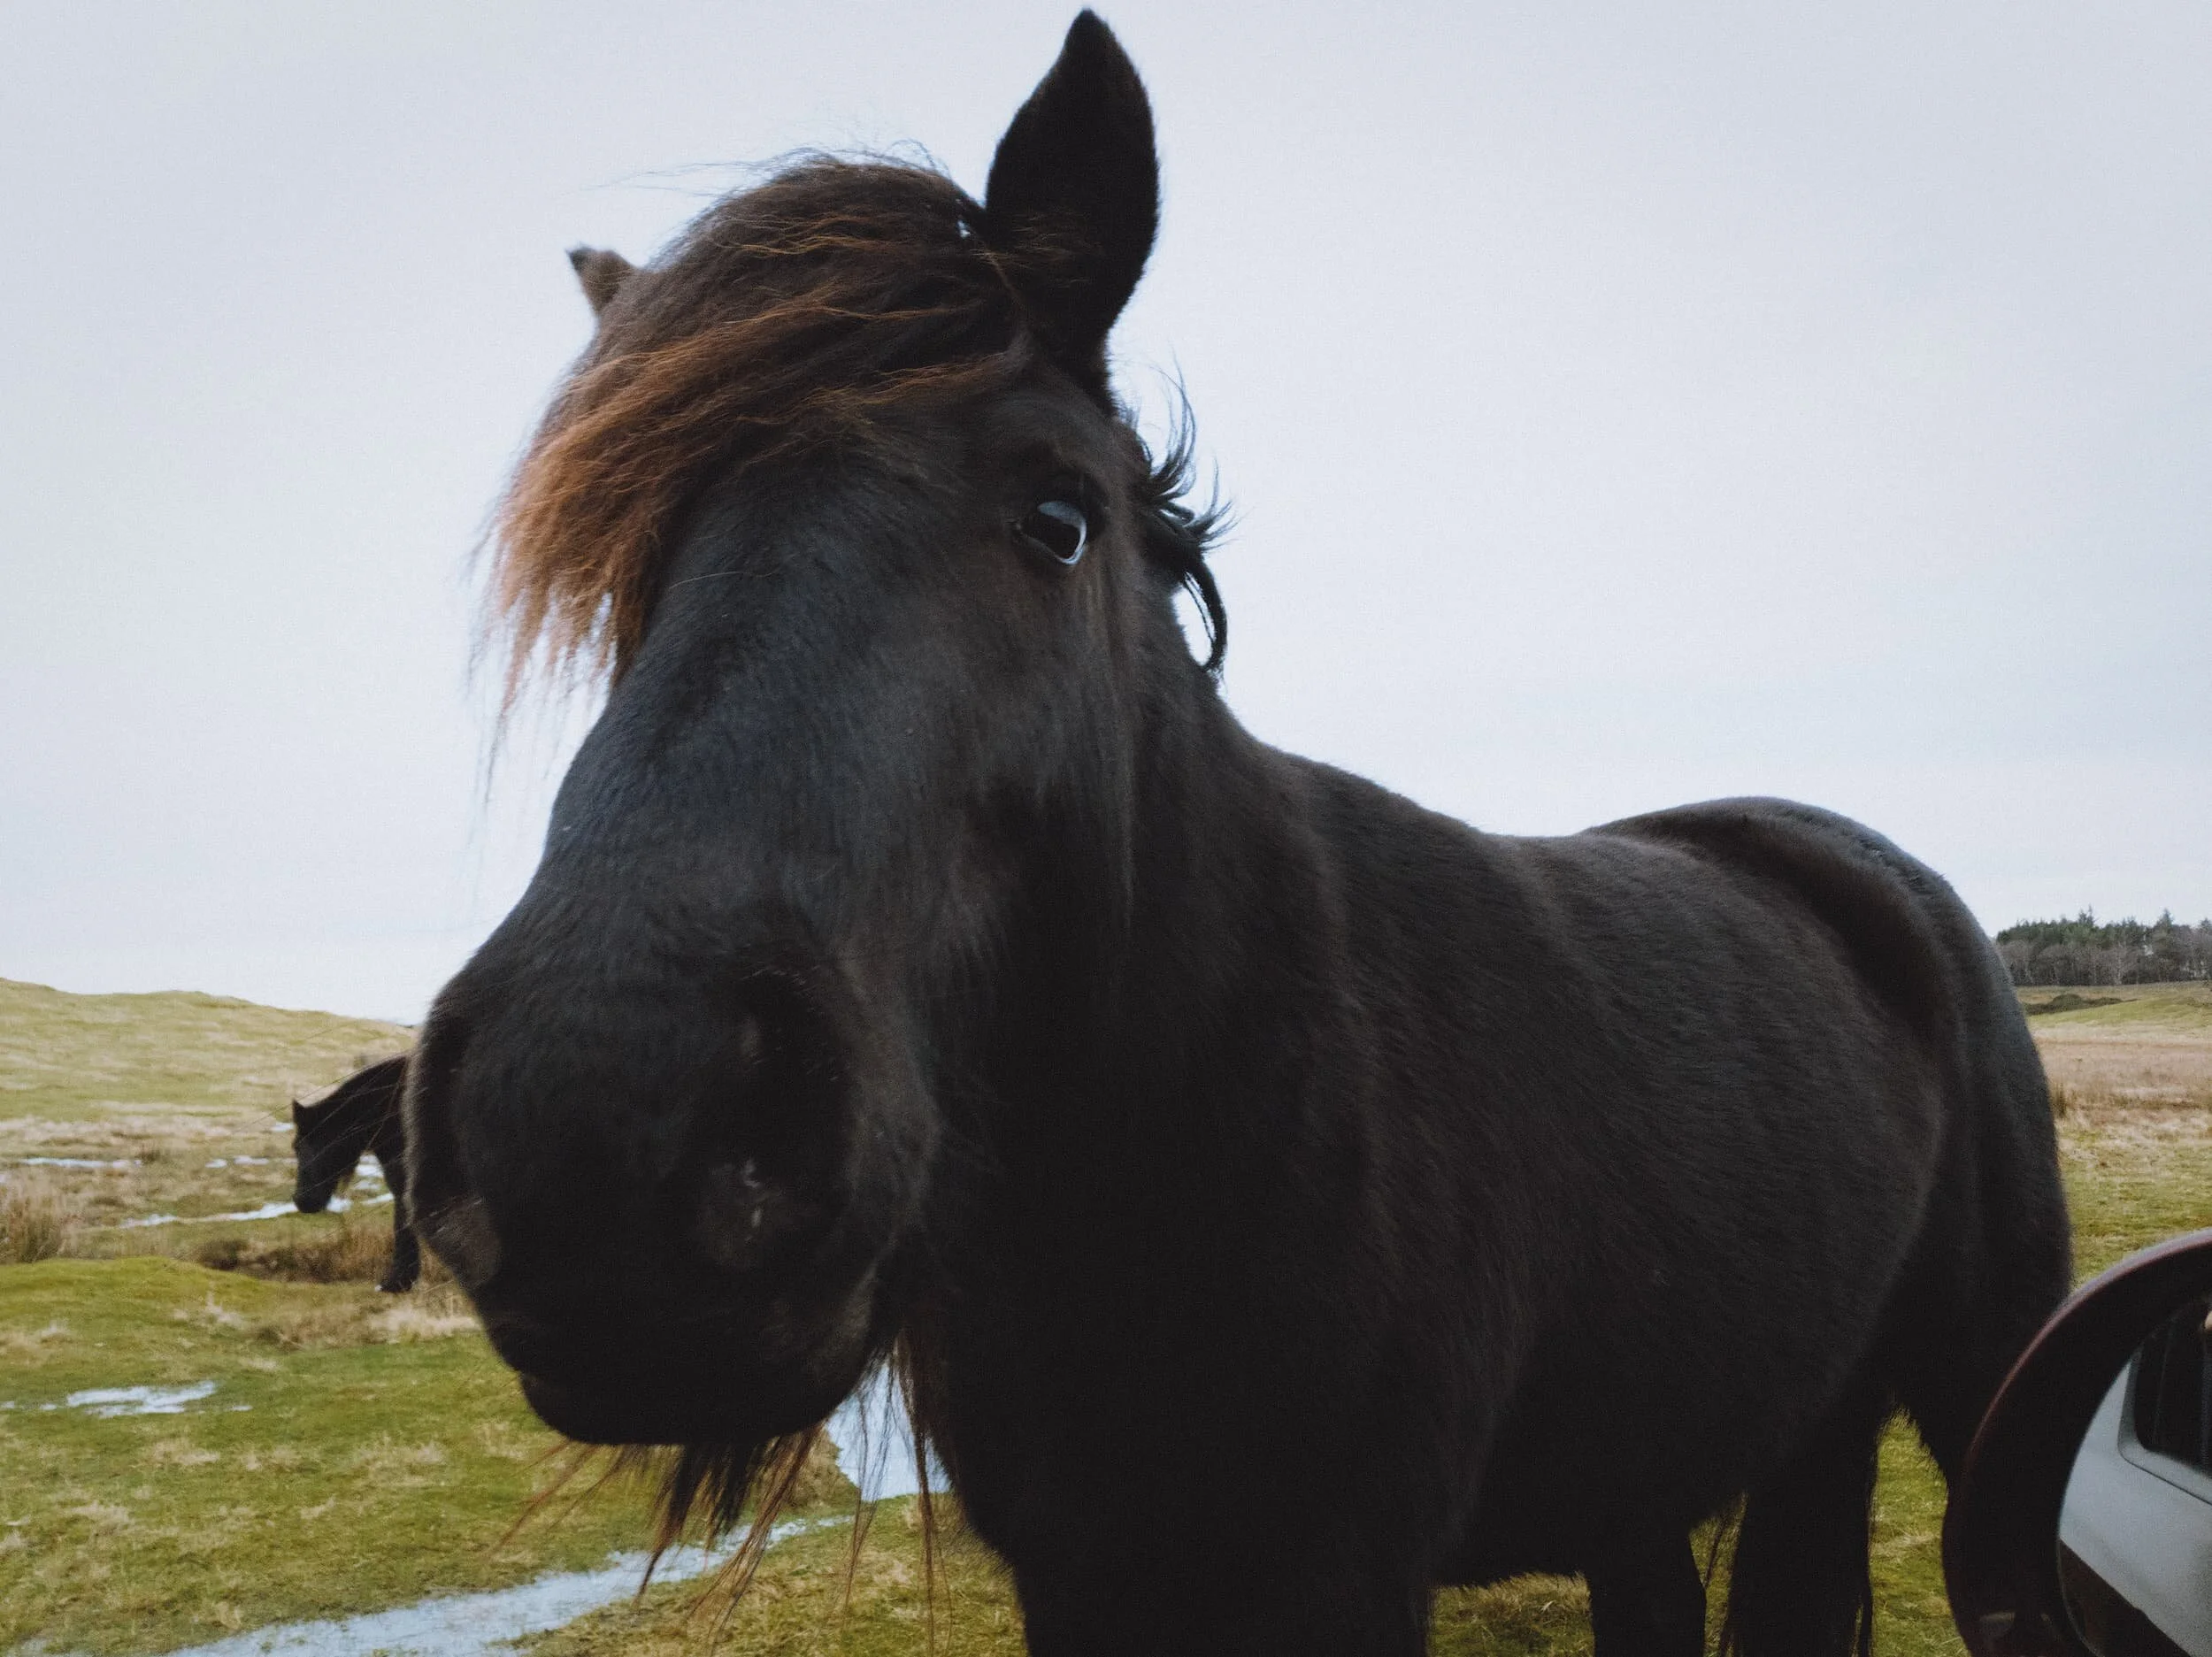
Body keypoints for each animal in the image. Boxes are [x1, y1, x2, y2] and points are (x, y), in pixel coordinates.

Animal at [402, 14, 2071, 1653]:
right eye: (634, 564)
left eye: (1059, 517)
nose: (601, 1107)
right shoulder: (1078, 1573)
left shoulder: (1335, 1574)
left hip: (1990, 1385)